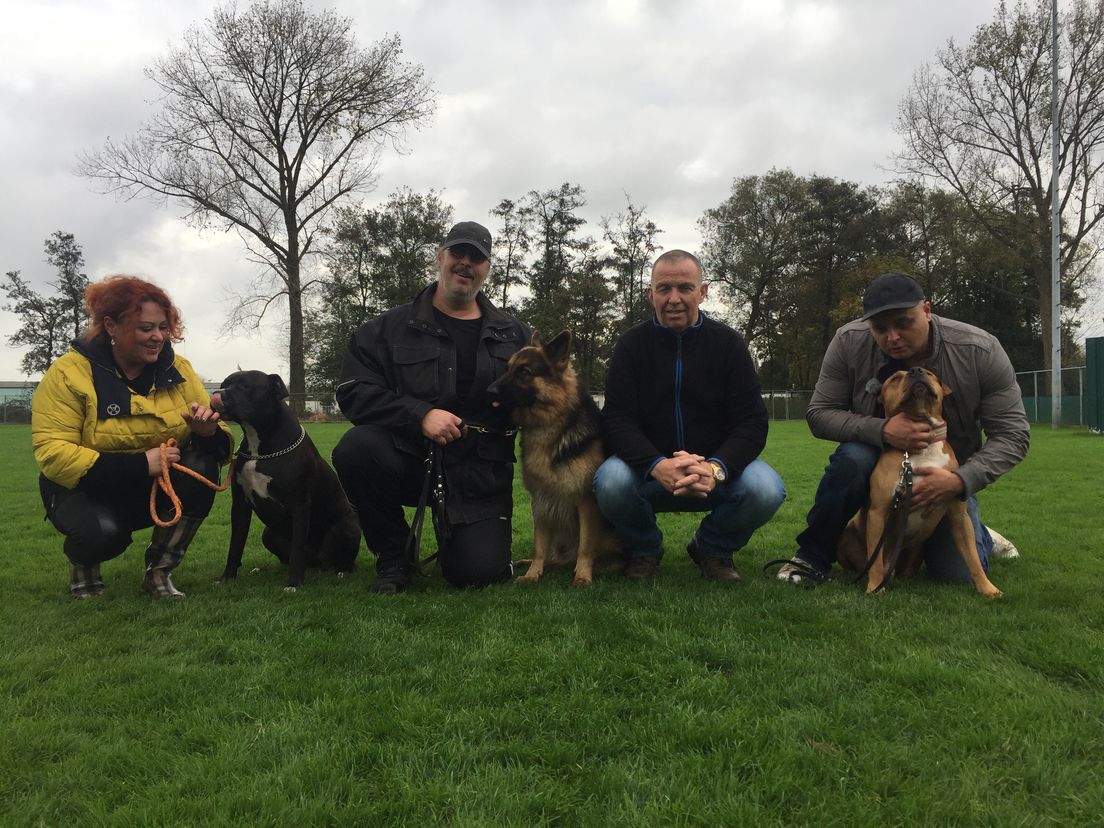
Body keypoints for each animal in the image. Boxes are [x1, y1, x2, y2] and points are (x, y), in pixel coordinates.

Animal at [208, 368, 359, 591]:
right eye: (225, 384)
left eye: (245, 386)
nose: (218, 394)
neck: (259, 450)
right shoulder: (240, 506)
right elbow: (235, 545)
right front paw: (227, 578)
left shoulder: (300, 505)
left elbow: (297, 548)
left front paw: (294, 583)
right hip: (268, 533)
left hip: (345, 527)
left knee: (336, 559)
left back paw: (341, 571)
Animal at [487, 333, 627, 587]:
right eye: (507, 368)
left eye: (524, 371)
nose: (489, 391)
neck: (550, 426)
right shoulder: (540, 501)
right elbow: (538, 547)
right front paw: (533, 573)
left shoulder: (586, 501)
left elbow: (585, 546)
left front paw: (582, 576)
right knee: (556, 560)